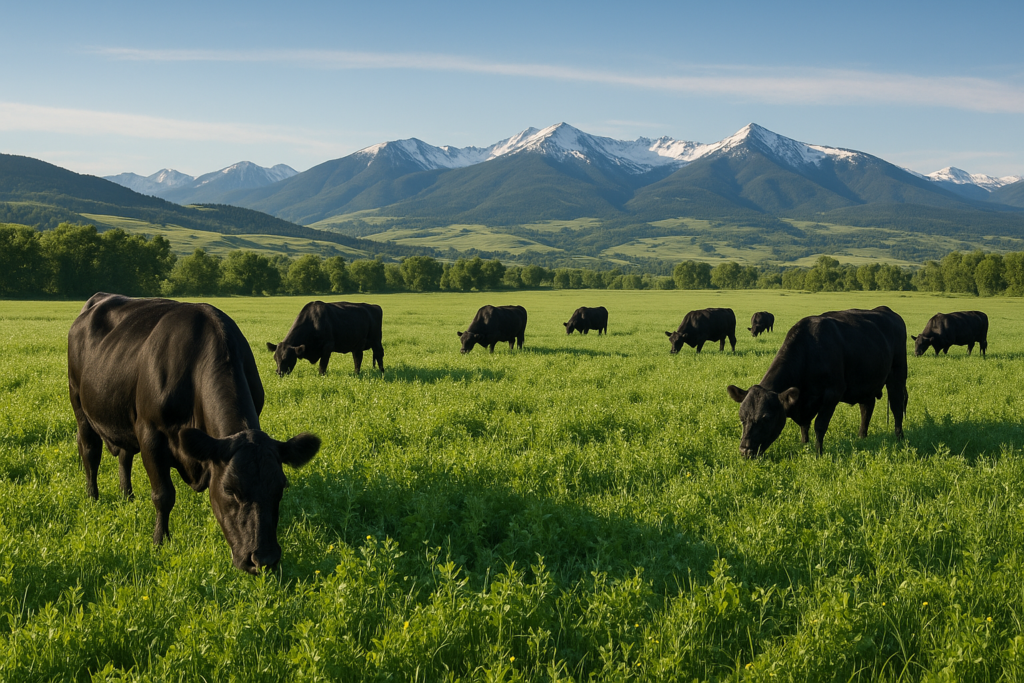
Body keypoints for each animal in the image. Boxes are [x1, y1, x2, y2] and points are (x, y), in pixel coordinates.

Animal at [68, 293, 321, 574]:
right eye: (230, 490)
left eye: (281, 486)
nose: (263, 560)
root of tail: (98, 299)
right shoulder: (149, 433)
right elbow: (163, 495)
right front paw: (160, 542)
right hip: (79, 404)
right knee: (90, 452)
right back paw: (93, 498)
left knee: (124, 455)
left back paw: (127, 496)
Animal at [726, 306, 907, 457]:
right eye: (742, 418)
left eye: (766, 418)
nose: (745, 450)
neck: (810, 350)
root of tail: (888, 311)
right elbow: (804, 426)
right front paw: (803, 444)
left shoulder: (832, 394)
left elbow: (819, 425)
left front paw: (818, 452)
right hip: (867, 383)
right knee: (867, 408)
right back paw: (862, 437)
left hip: (898, 375)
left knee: (897, 407)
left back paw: (899, 438)